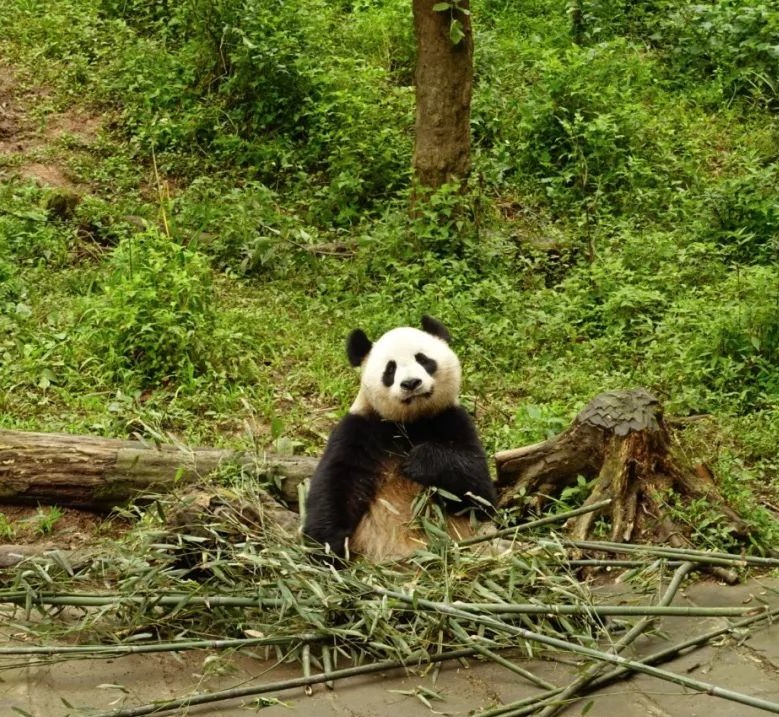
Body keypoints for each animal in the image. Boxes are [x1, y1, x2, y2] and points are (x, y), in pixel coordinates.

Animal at [302, 316, 496, 564]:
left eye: (423, 359)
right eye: (390, 369)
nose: (411, 383)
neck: (410, 422)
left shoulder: (452, 420)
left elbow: (480, 492)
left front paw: (419, 462)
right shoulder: (361, 428)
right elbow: (336, 482)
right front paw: (328, 548)